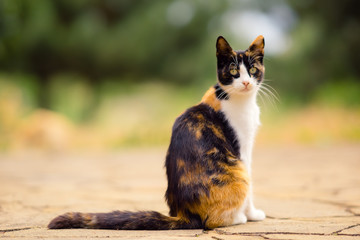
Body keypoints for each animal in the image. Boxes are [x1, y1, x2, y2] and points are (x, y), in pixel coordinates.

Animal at [47, 35, 266, 231]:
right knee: (212, 221)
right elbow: (251, 187)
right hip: (237, 172)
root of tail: (185, 214)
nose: (246, 83)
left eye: (253, 70)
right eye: (234, 70)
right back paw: (239, 218)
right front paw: (253, 215)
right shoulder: (243, 150)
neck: (235, 98)